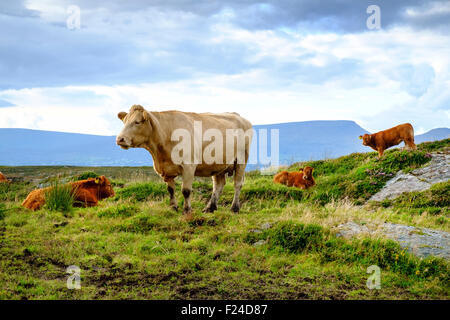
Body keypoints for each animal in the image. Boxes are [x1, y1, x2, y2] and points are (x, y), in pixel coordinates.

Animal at [116, 105, 253, 215]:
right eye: (124, 121)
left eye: (137, 122)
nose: (120, 139)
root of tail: (240, 117)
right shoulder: (166, 170)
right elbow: (171, 190)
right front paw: (173, 207)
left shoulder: (189, 166)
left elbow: (186, 191)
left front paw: (187, 210)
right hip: (218, 164)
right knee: (218, 185)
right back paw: (210, 208)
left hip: (241, 159)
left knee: (237, 184)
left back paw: (234, 208)